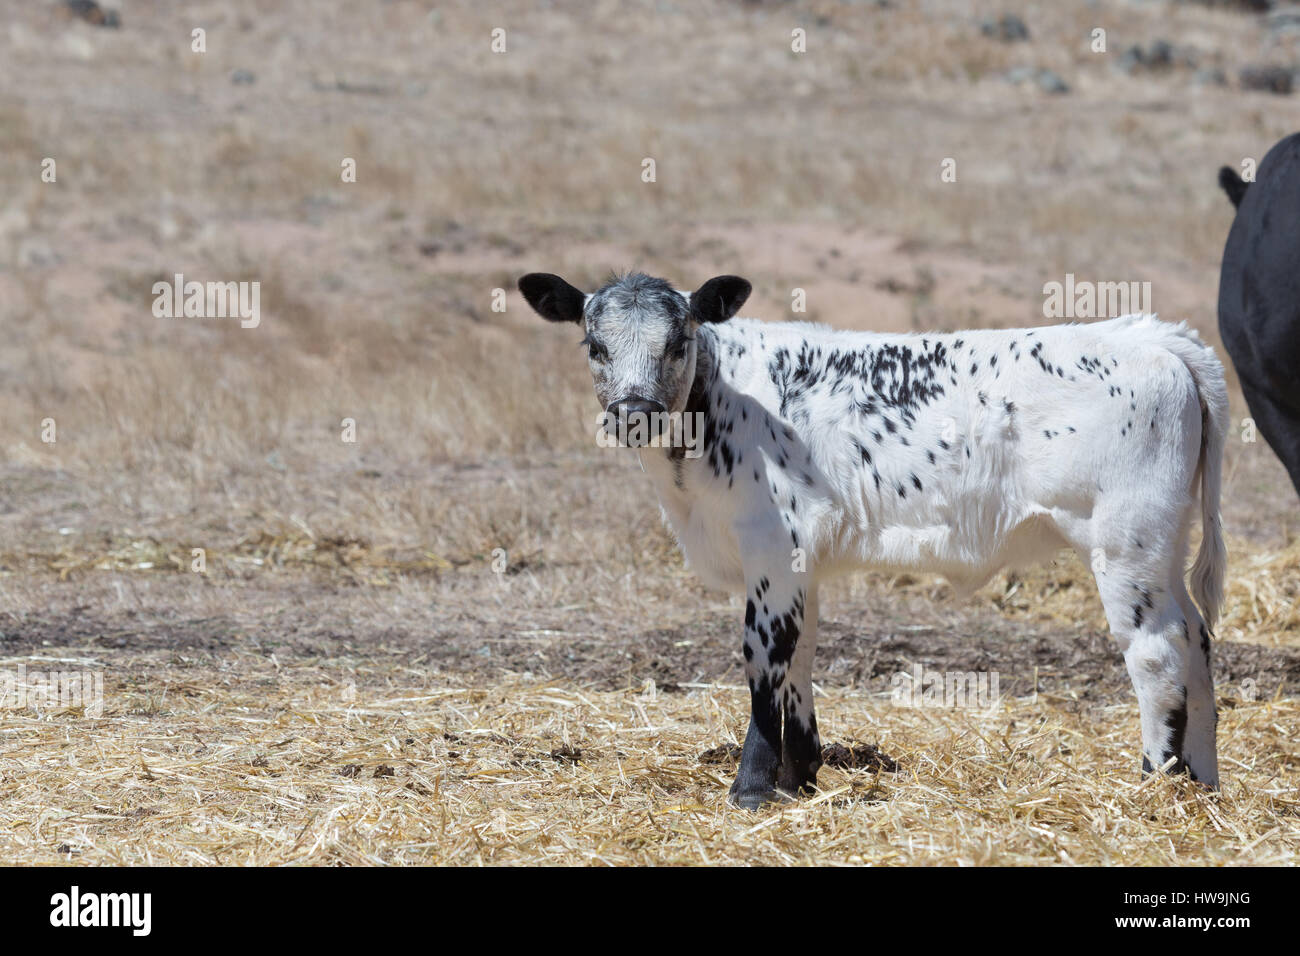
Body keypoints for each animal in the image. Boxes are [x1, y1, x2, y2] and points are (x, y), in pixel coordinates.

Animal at [517, 269, 1227, 806]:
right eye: (594, 346)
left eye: (677, 340)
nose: (634, 414)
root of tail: (1155, 338)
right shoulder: (798, 564)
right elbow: (801, 654)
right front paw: (800, 773)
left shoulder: (772, 547)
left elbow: (763, 658)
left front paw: (752, 787)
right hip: (1163, 545)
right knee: (1196, 638)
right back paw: (1201, 783)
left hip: (1126, 540)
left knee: (1157, 650)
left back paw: (1155, 782)